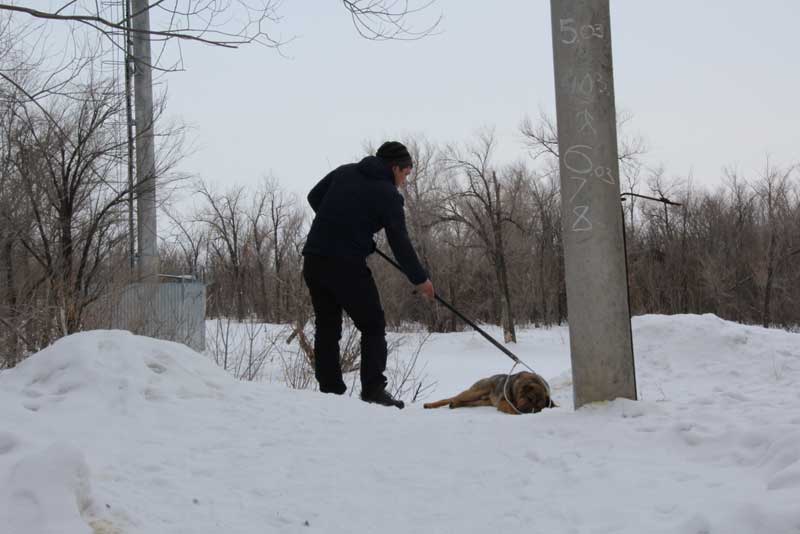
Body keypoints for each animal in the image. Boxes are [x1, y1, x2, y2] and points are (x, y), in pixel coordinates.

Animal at [424, 370, 556, 416]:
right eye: (529, 399)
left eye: (539, 407)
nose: (530, 411)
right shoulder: (504, 402)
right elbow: (510, 407)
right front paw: (516, 411)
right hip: (476, 391)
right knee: (451, 398)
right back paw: (432, 404)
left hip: (479, 402)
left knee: (462, 402)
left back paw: (454, 404)